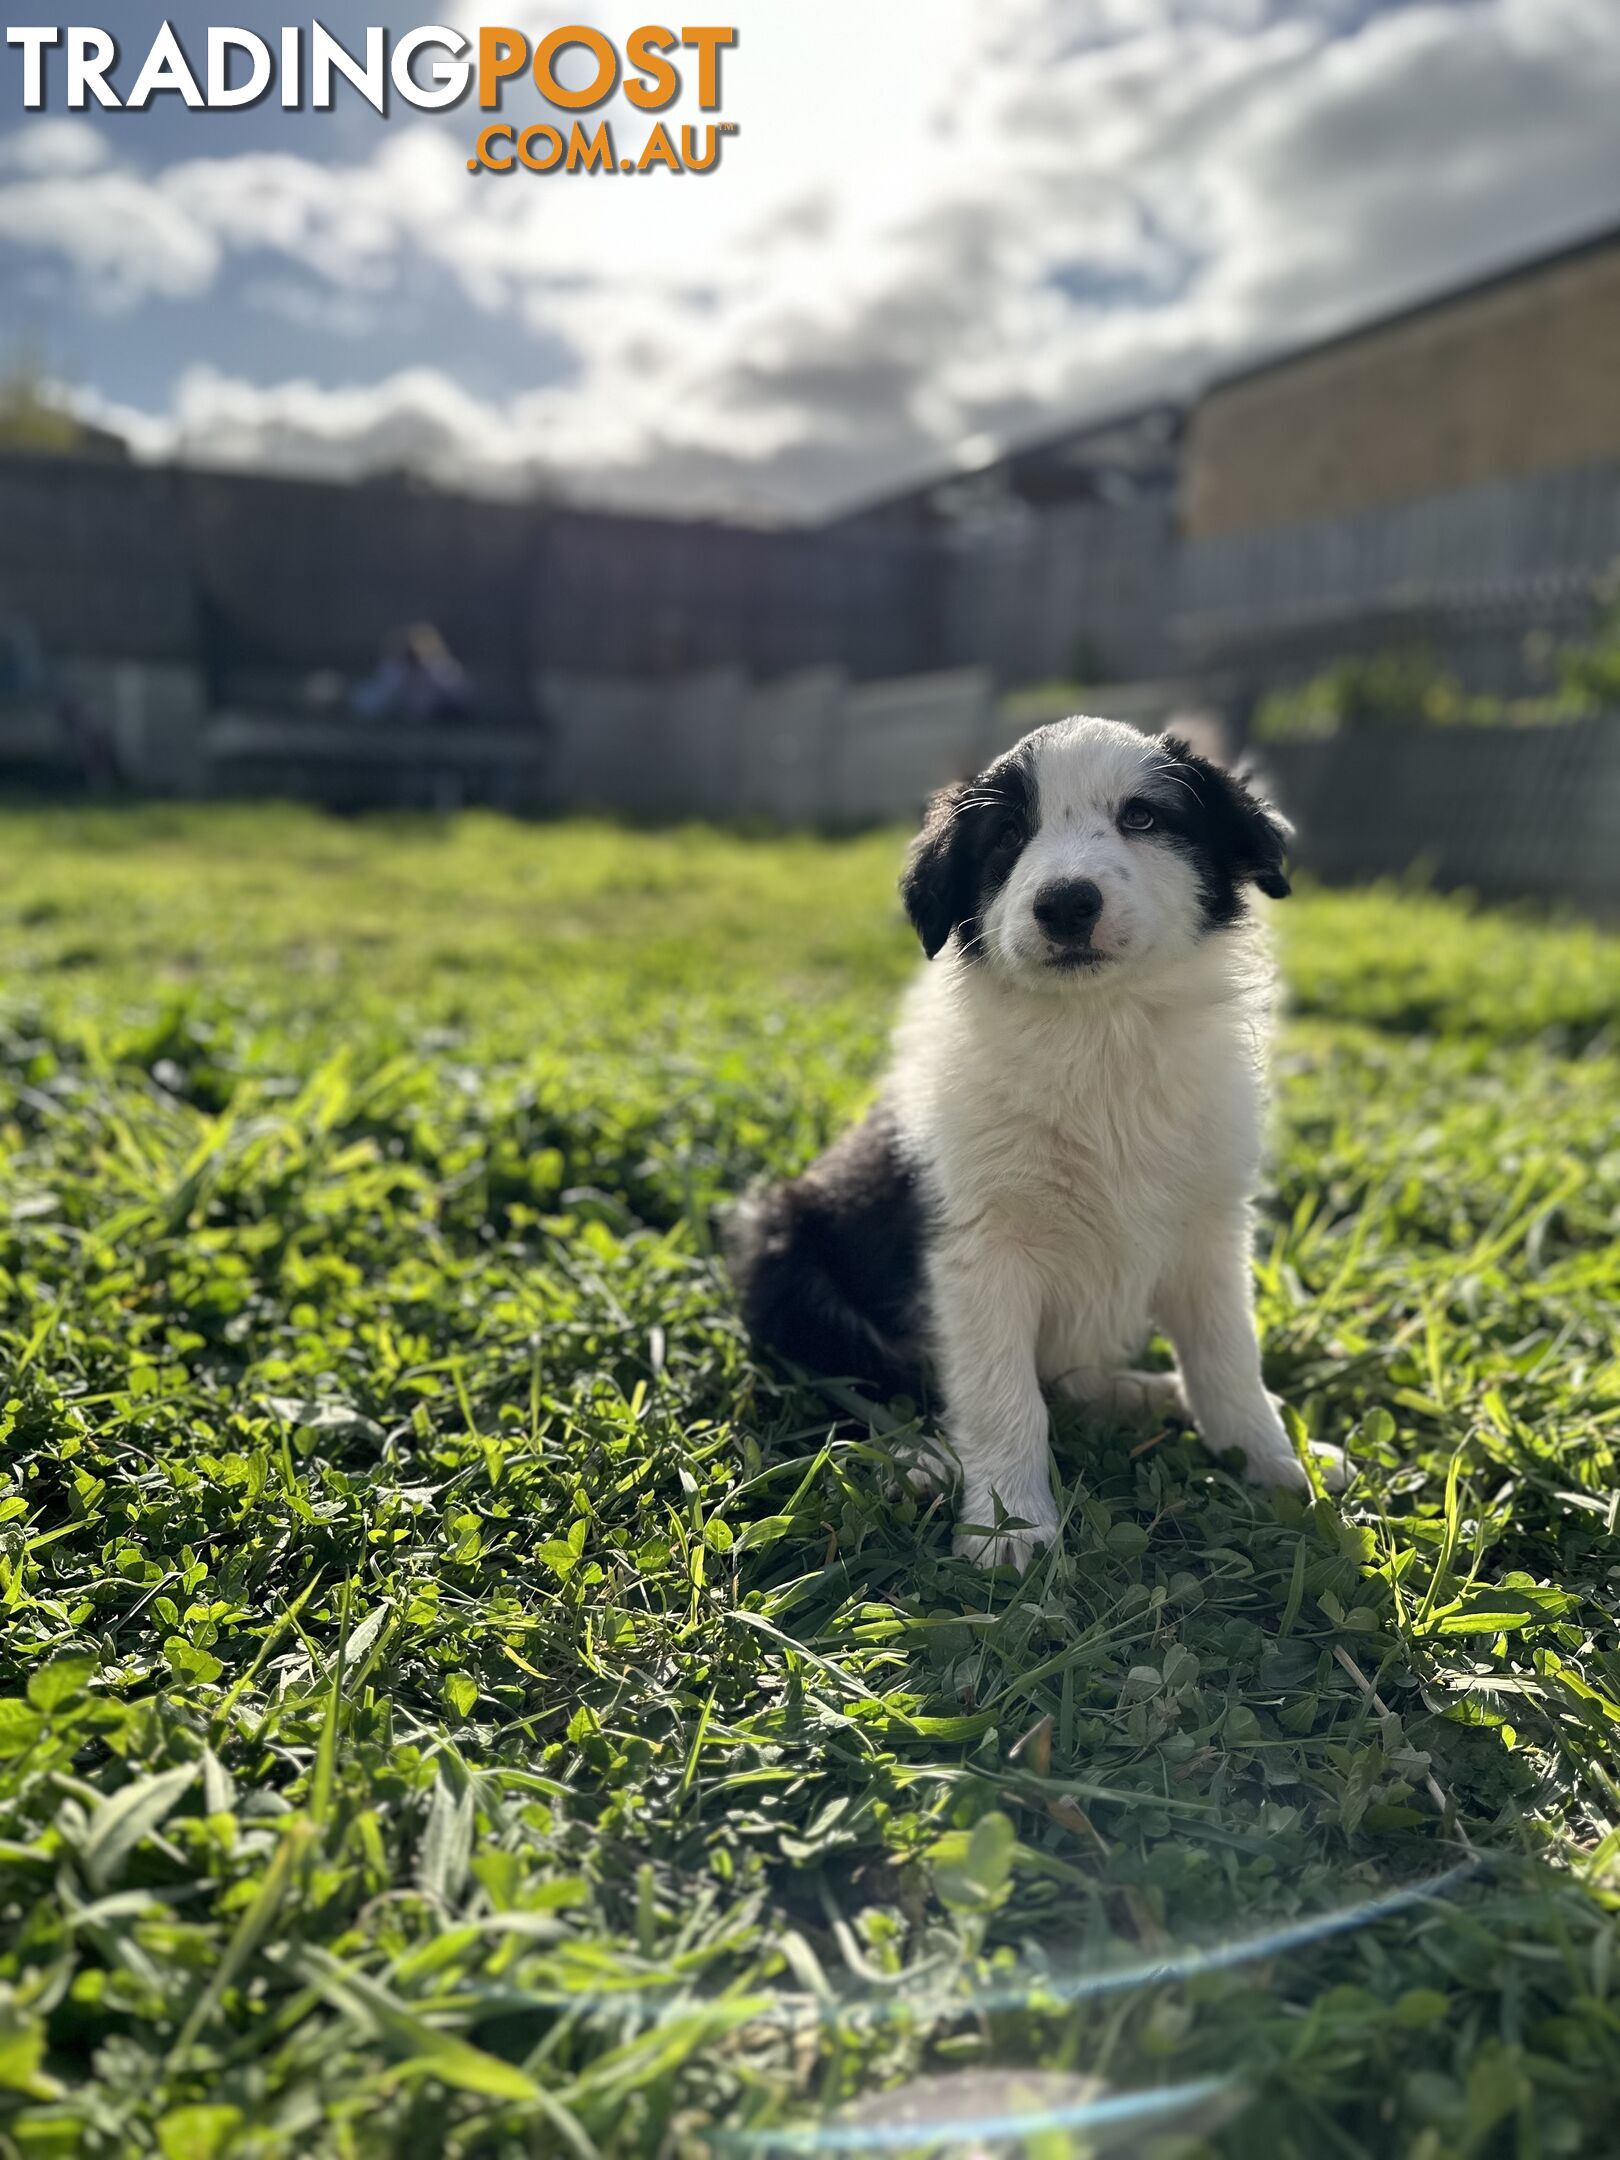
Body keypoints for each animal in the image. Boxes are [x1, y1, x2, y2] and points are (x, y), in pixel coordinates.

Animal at [730, 717, 1347, 1563]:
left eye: (1142, 818)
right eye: (1009, 837)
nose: (1065, 904)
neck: (1096, 1034)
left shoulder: (1210, 1229)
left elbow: (1228, 1357)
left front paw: (1275, 1463)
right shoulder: (978, 1247)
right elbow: (1002, 1394)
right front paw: (1008, 1526)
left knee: (1068, 1379)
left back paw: (1150, 1395)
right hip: (782, 1249)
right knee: (862, 1381)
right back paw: (922, 1458)